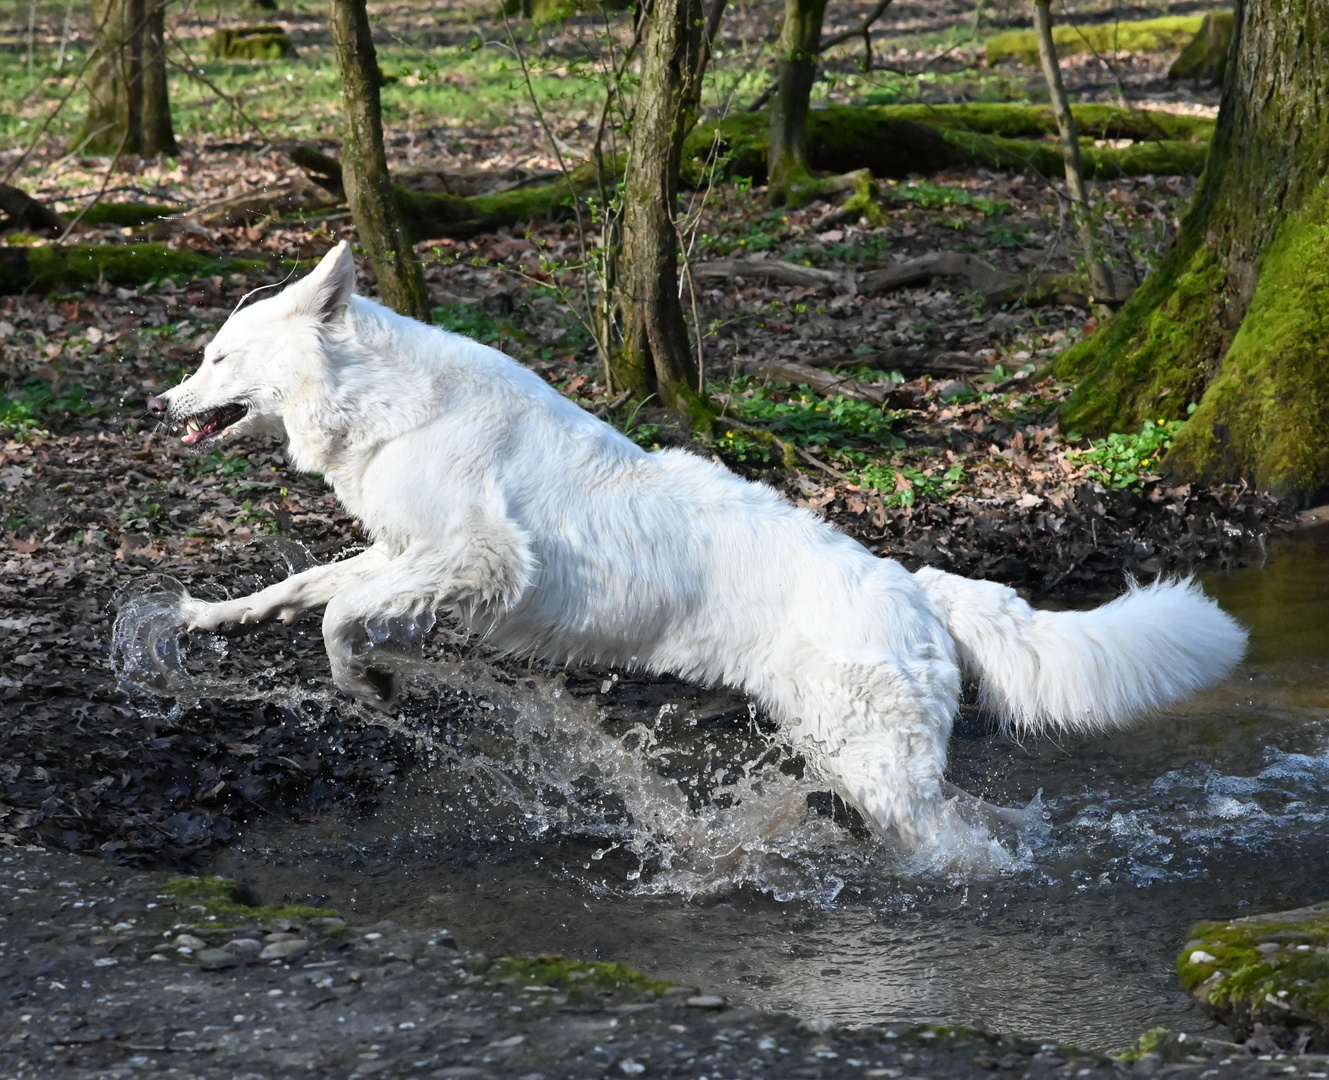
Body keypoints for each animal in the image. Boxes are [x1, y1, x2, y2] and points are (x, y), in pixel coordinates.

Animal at [150, 241, 1249, 850]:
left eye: (217, 359)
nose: (158, 406)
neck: (384, 402)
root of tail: (914, 585)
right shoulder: (409, 553)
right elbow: (308, 583)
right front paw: (208, 614)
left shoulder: (477, 560)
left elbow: (339, 610)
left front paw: (362, 682)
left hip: (872, 764)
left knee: (953, 844)